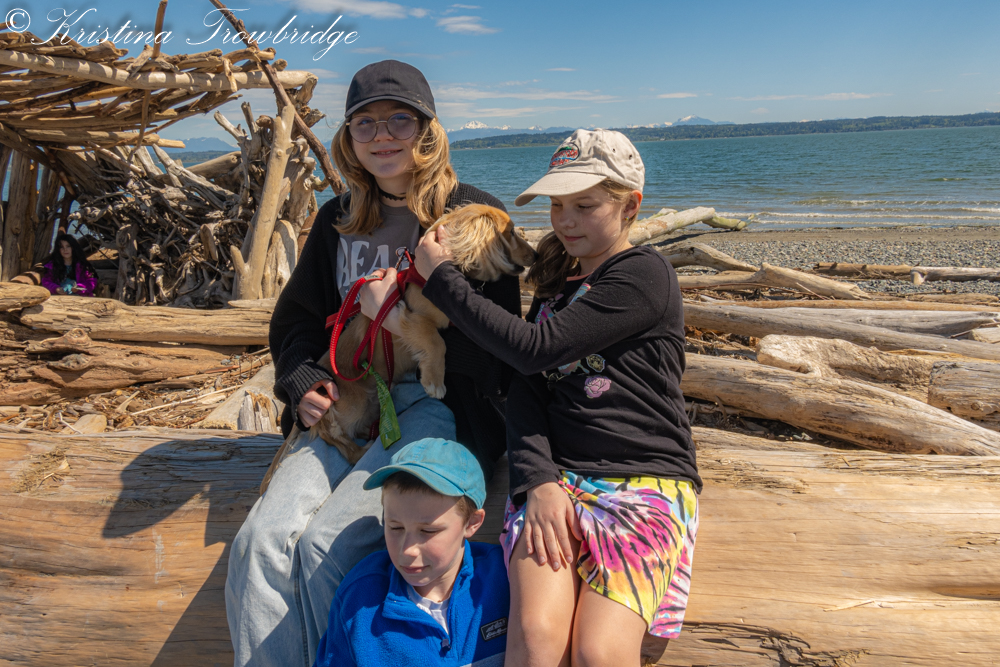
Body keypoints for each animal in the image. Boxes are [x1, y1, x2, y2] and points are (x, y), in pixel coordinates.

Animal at [260, 204, 536, 494]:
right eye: (511, 231)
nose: (536, 254)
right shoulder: (412, 319)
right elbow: (436, 342)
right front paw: (434, 382)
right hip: (350, 404)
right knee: (336, 439)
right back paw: (361, 449)